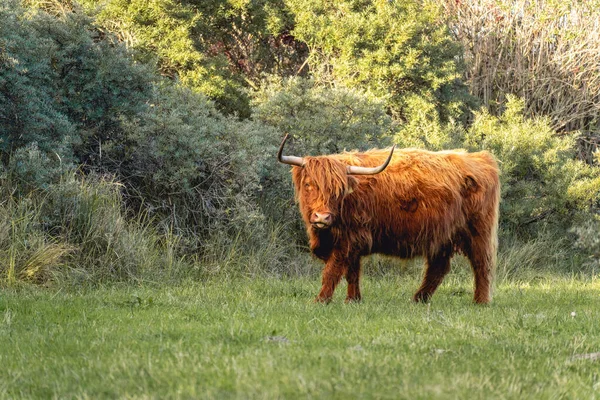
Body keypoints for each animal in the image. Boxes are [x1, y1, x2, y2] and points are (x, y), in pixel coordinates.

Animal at [278, 134, 500, 304]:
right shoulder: (352, 241)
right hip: (441, 235)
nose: (322, 217)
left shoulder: (347, 240)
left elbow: (332, 270)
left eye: (338, 191)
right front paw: (353, 300)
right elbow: (352, 271)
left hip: (478, 230)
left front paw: (321, 300)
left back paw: (480, 302)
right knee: (439, 267)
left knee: (482, 264)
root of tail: (480, 158)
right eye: (308, 184)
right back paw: (418, 299)